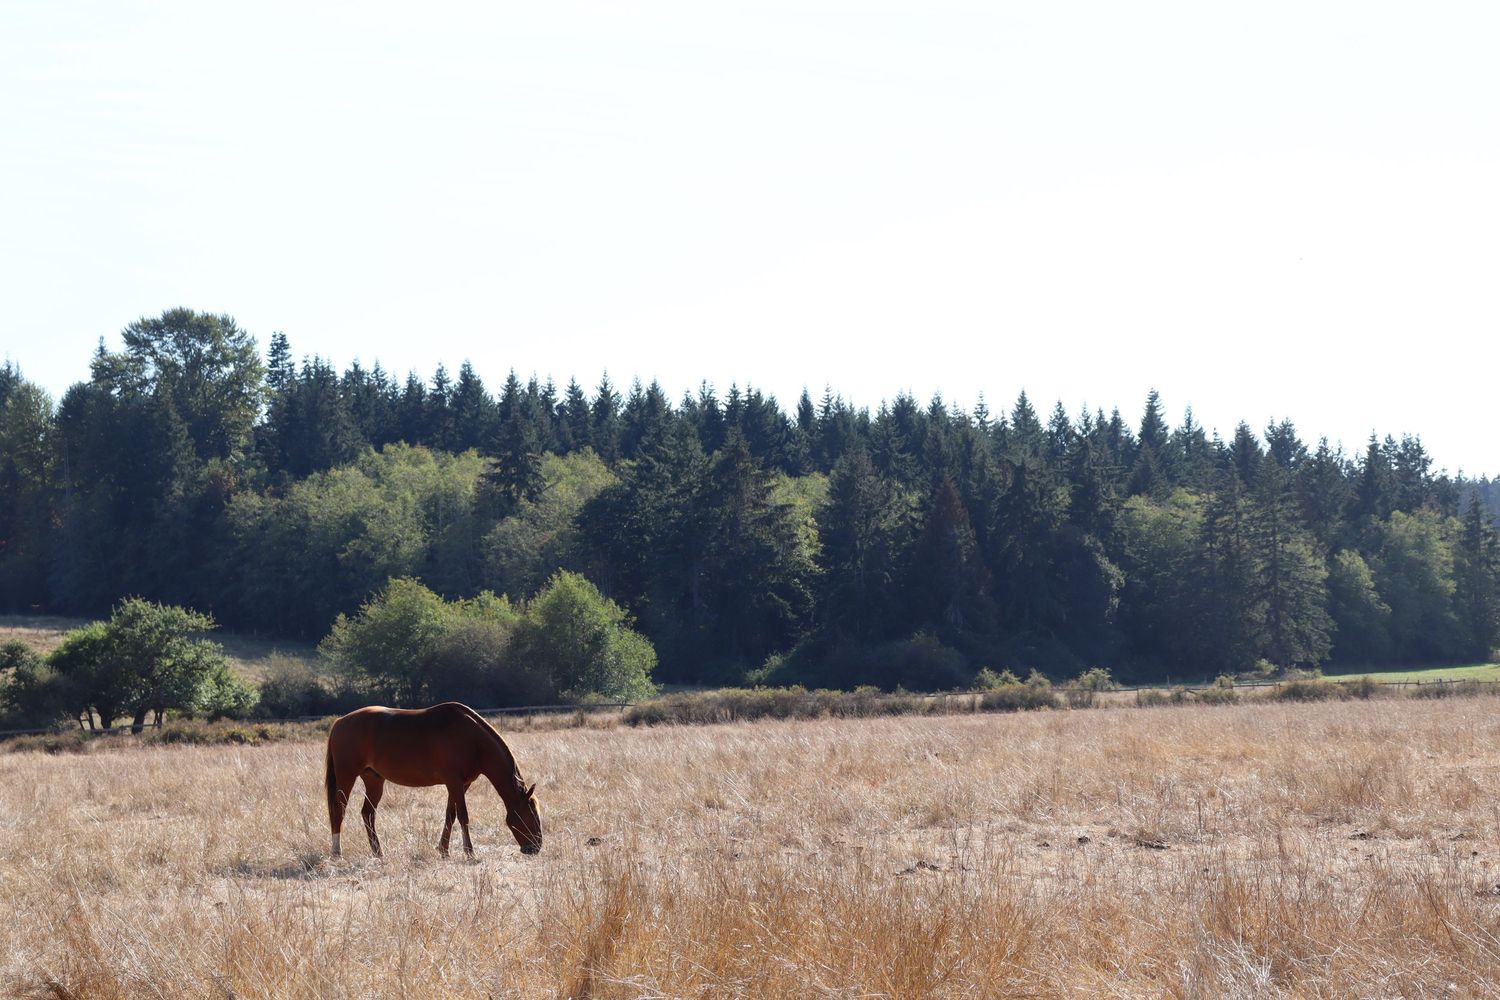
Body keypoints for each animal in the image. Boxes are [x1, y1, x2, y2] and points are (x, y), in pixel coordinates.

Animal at [324, 701, 542, 859]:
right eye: (531, 814)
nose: (536, 847)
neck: (472, 738)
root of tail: (339, 722)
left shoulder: (461, 784)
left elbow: (450, 815)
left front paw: (444, 850)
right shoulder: (454, 782)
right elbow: (463, 816)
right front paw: (469, 853)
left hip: (374, 780)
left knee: (368, 814)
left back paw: (378, 853)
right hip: (347, 777)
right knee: (339, 810)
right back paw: (336, 853)